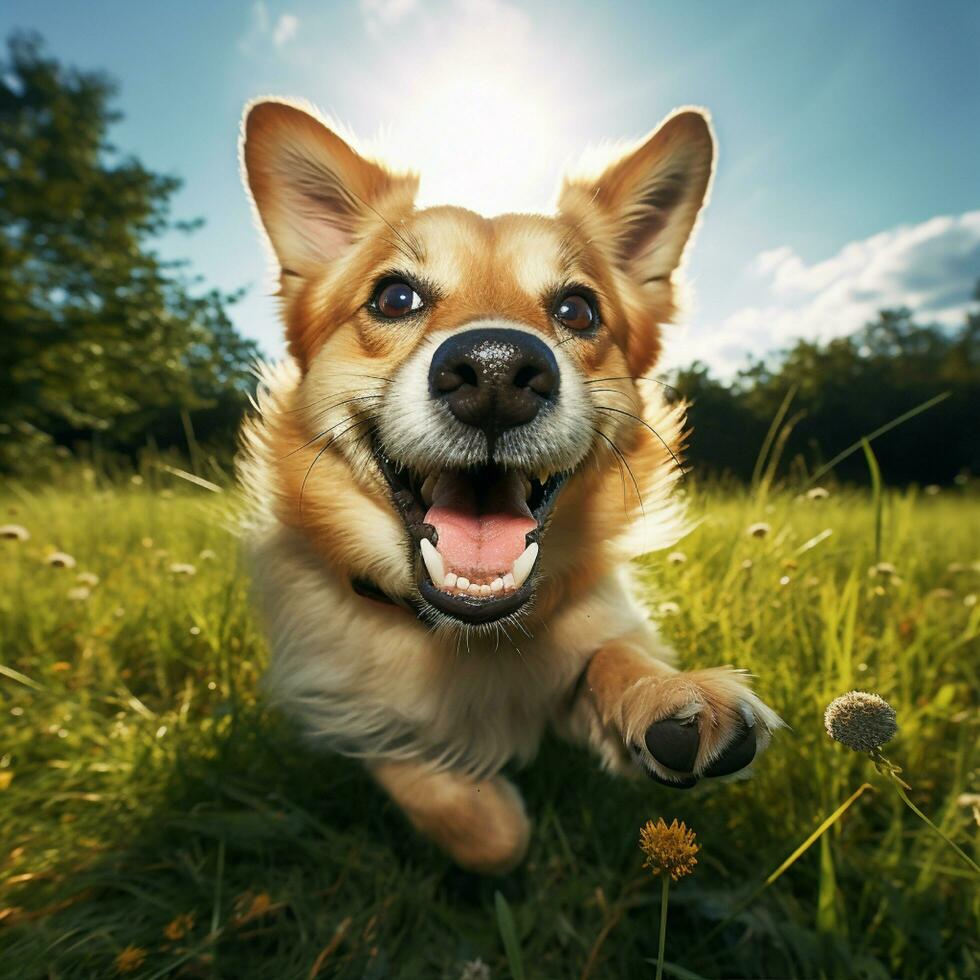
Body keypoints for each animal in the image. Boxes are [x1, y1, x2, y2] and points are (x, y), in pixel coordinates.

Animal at [237, 101, 780, 872]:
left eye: (578, 309)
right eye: (394, 297)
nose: (495, 371)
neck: (469, 637)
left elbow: (607, 653)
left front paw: (664, 694)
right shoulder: (331, 707)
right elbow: (476, 824)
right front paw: (485, 797)